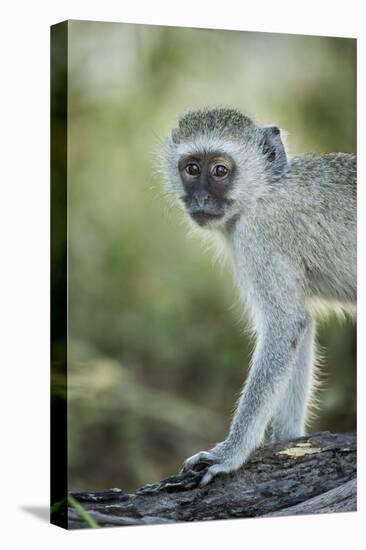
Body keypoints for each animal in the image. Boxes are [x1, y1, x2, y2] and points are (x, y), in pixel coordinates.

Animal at [163, 108, 354, 488]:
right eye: (192, 168)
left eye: (219, 171)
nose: (200, 199)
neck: (264, 190)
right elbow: (301, 325)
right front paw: (290, 440)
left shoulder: (257, 234)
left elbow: (285, 324)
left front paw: (231, 453)